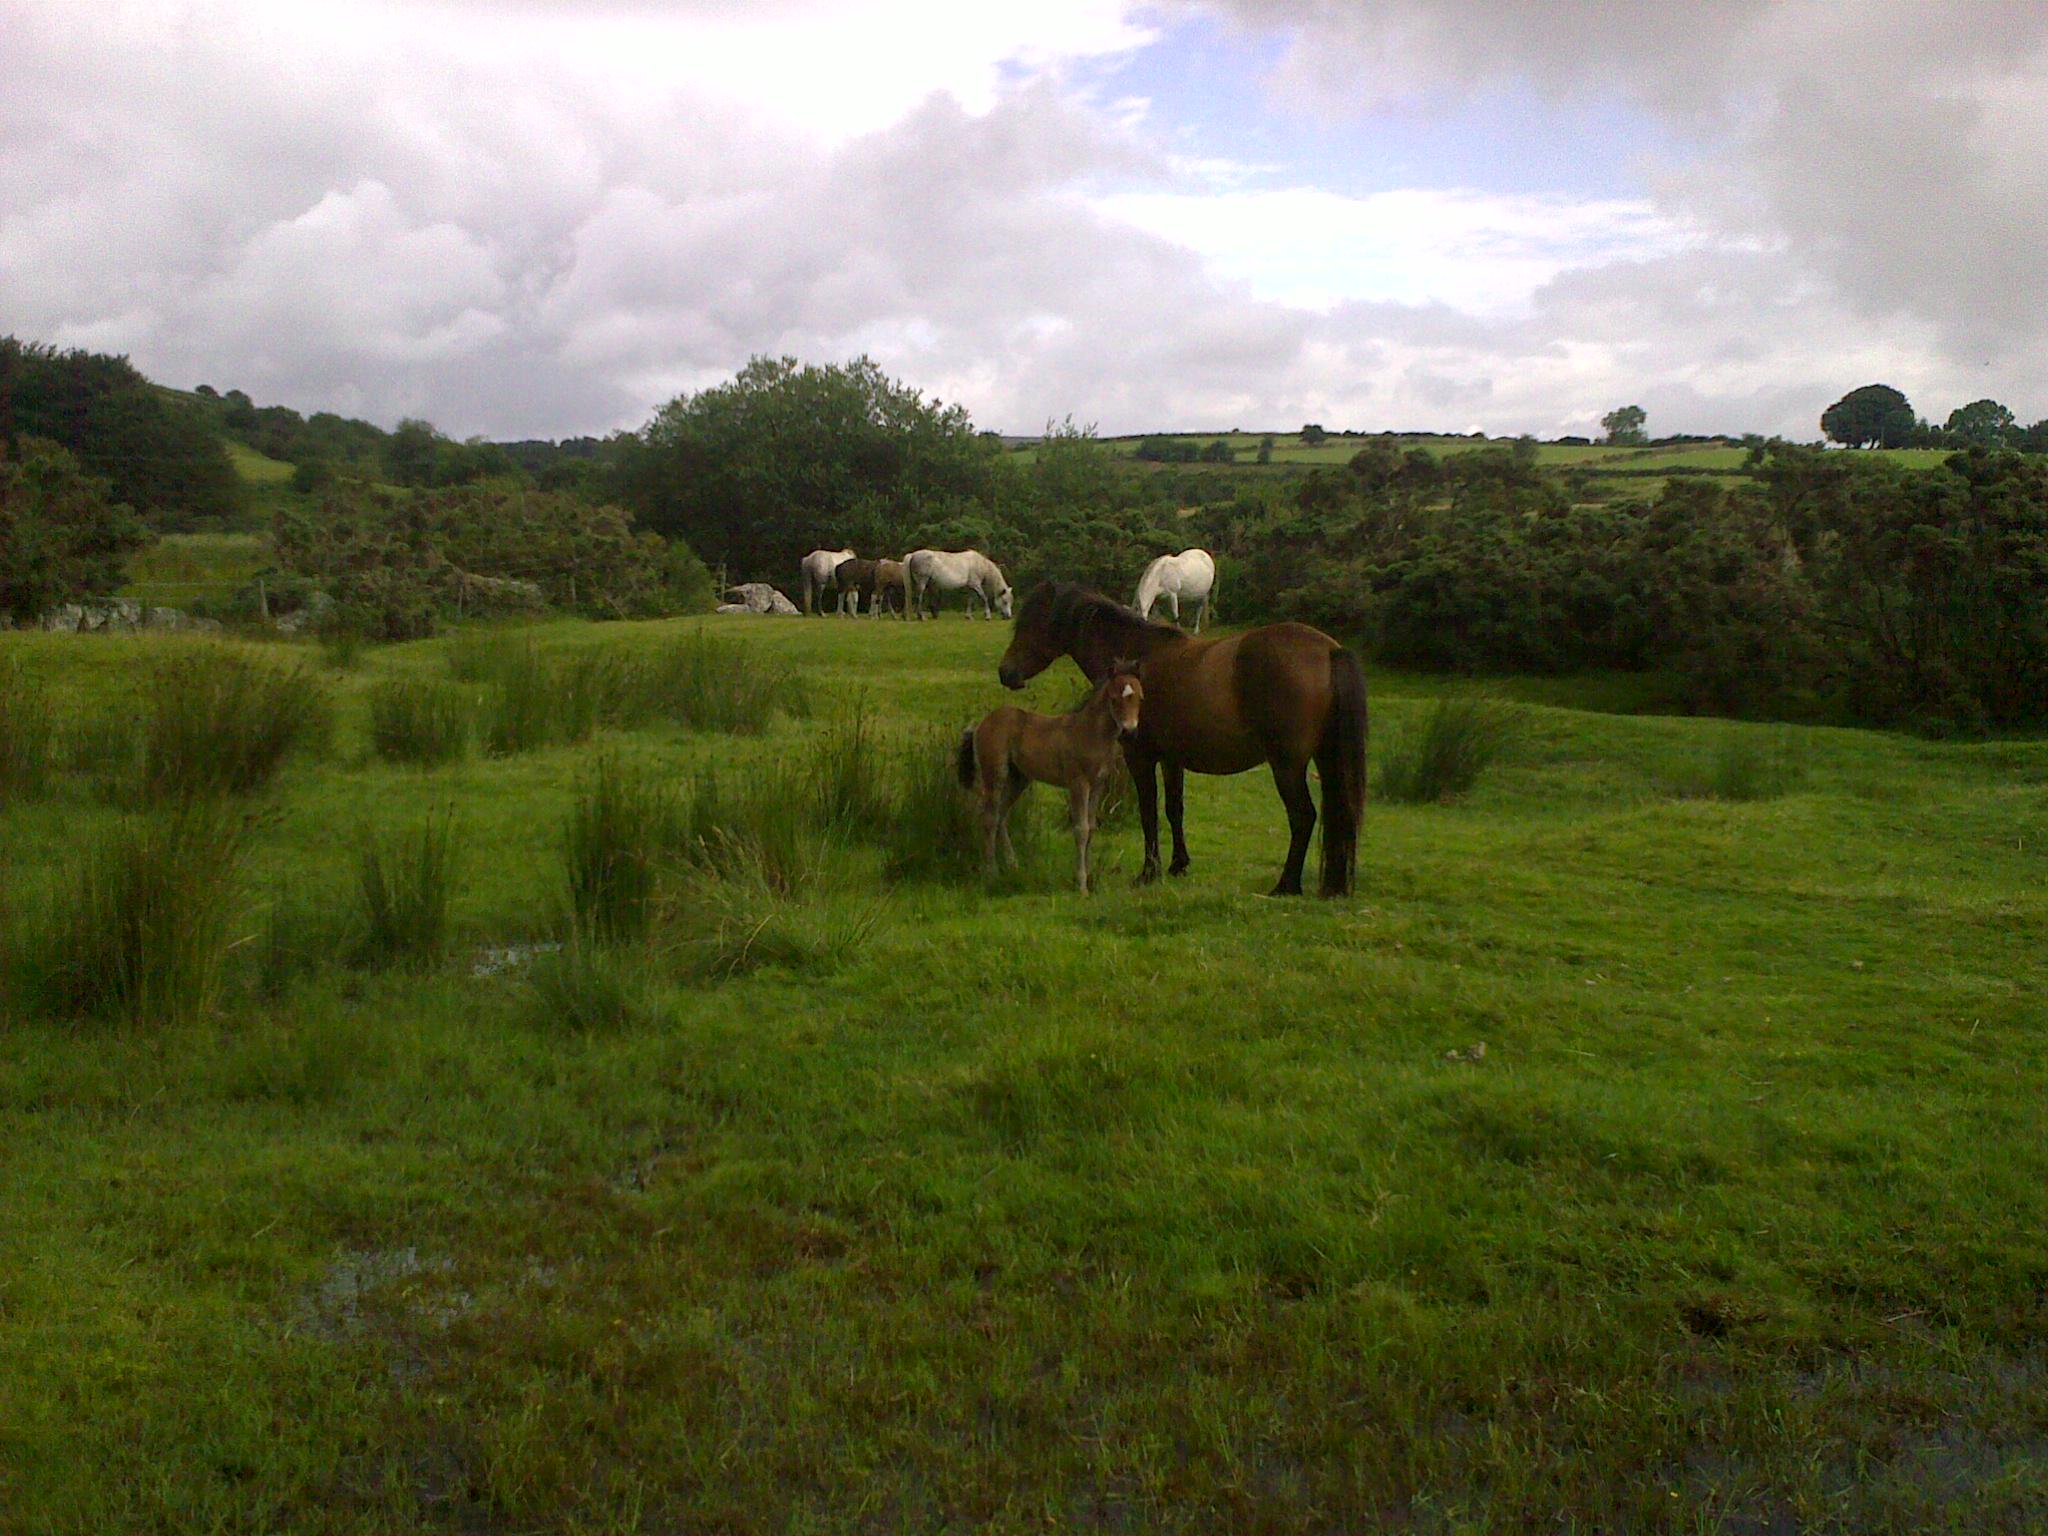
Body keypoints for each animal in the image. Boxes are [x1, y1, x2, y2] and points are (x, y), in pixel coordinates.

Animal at [956, 664, 1143, 893]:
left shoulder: (1098, 785)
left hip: (1019, 779)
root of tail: (980, 724)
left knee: (1001, 815)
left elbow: (1091, 827)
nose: (1130, 731)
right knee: (989, 818)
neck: (1089, 732)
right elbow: (1081, 829)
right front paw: (1081, 885)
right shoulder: (1078, 783)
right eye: (1114, 699)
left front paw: (1089, 879)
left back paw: (1013, 866)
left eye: (1140, 698)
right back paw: (991, 874)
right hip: (995, 775)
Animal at [996, 582, 1367, 897]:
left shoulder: (1140, 758)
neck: (1137, 658)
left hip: (1287, 766)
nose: (1006, 672)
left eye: (1031, 624)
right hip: (1326, 760)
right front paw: (1178, 865)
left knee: (1303, 817)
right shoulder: (1172, 760)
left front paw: (1149, 872)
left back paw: (1286, 885)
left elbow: (1149, 811)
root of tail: (1329, 650)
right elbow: (1174, 810)